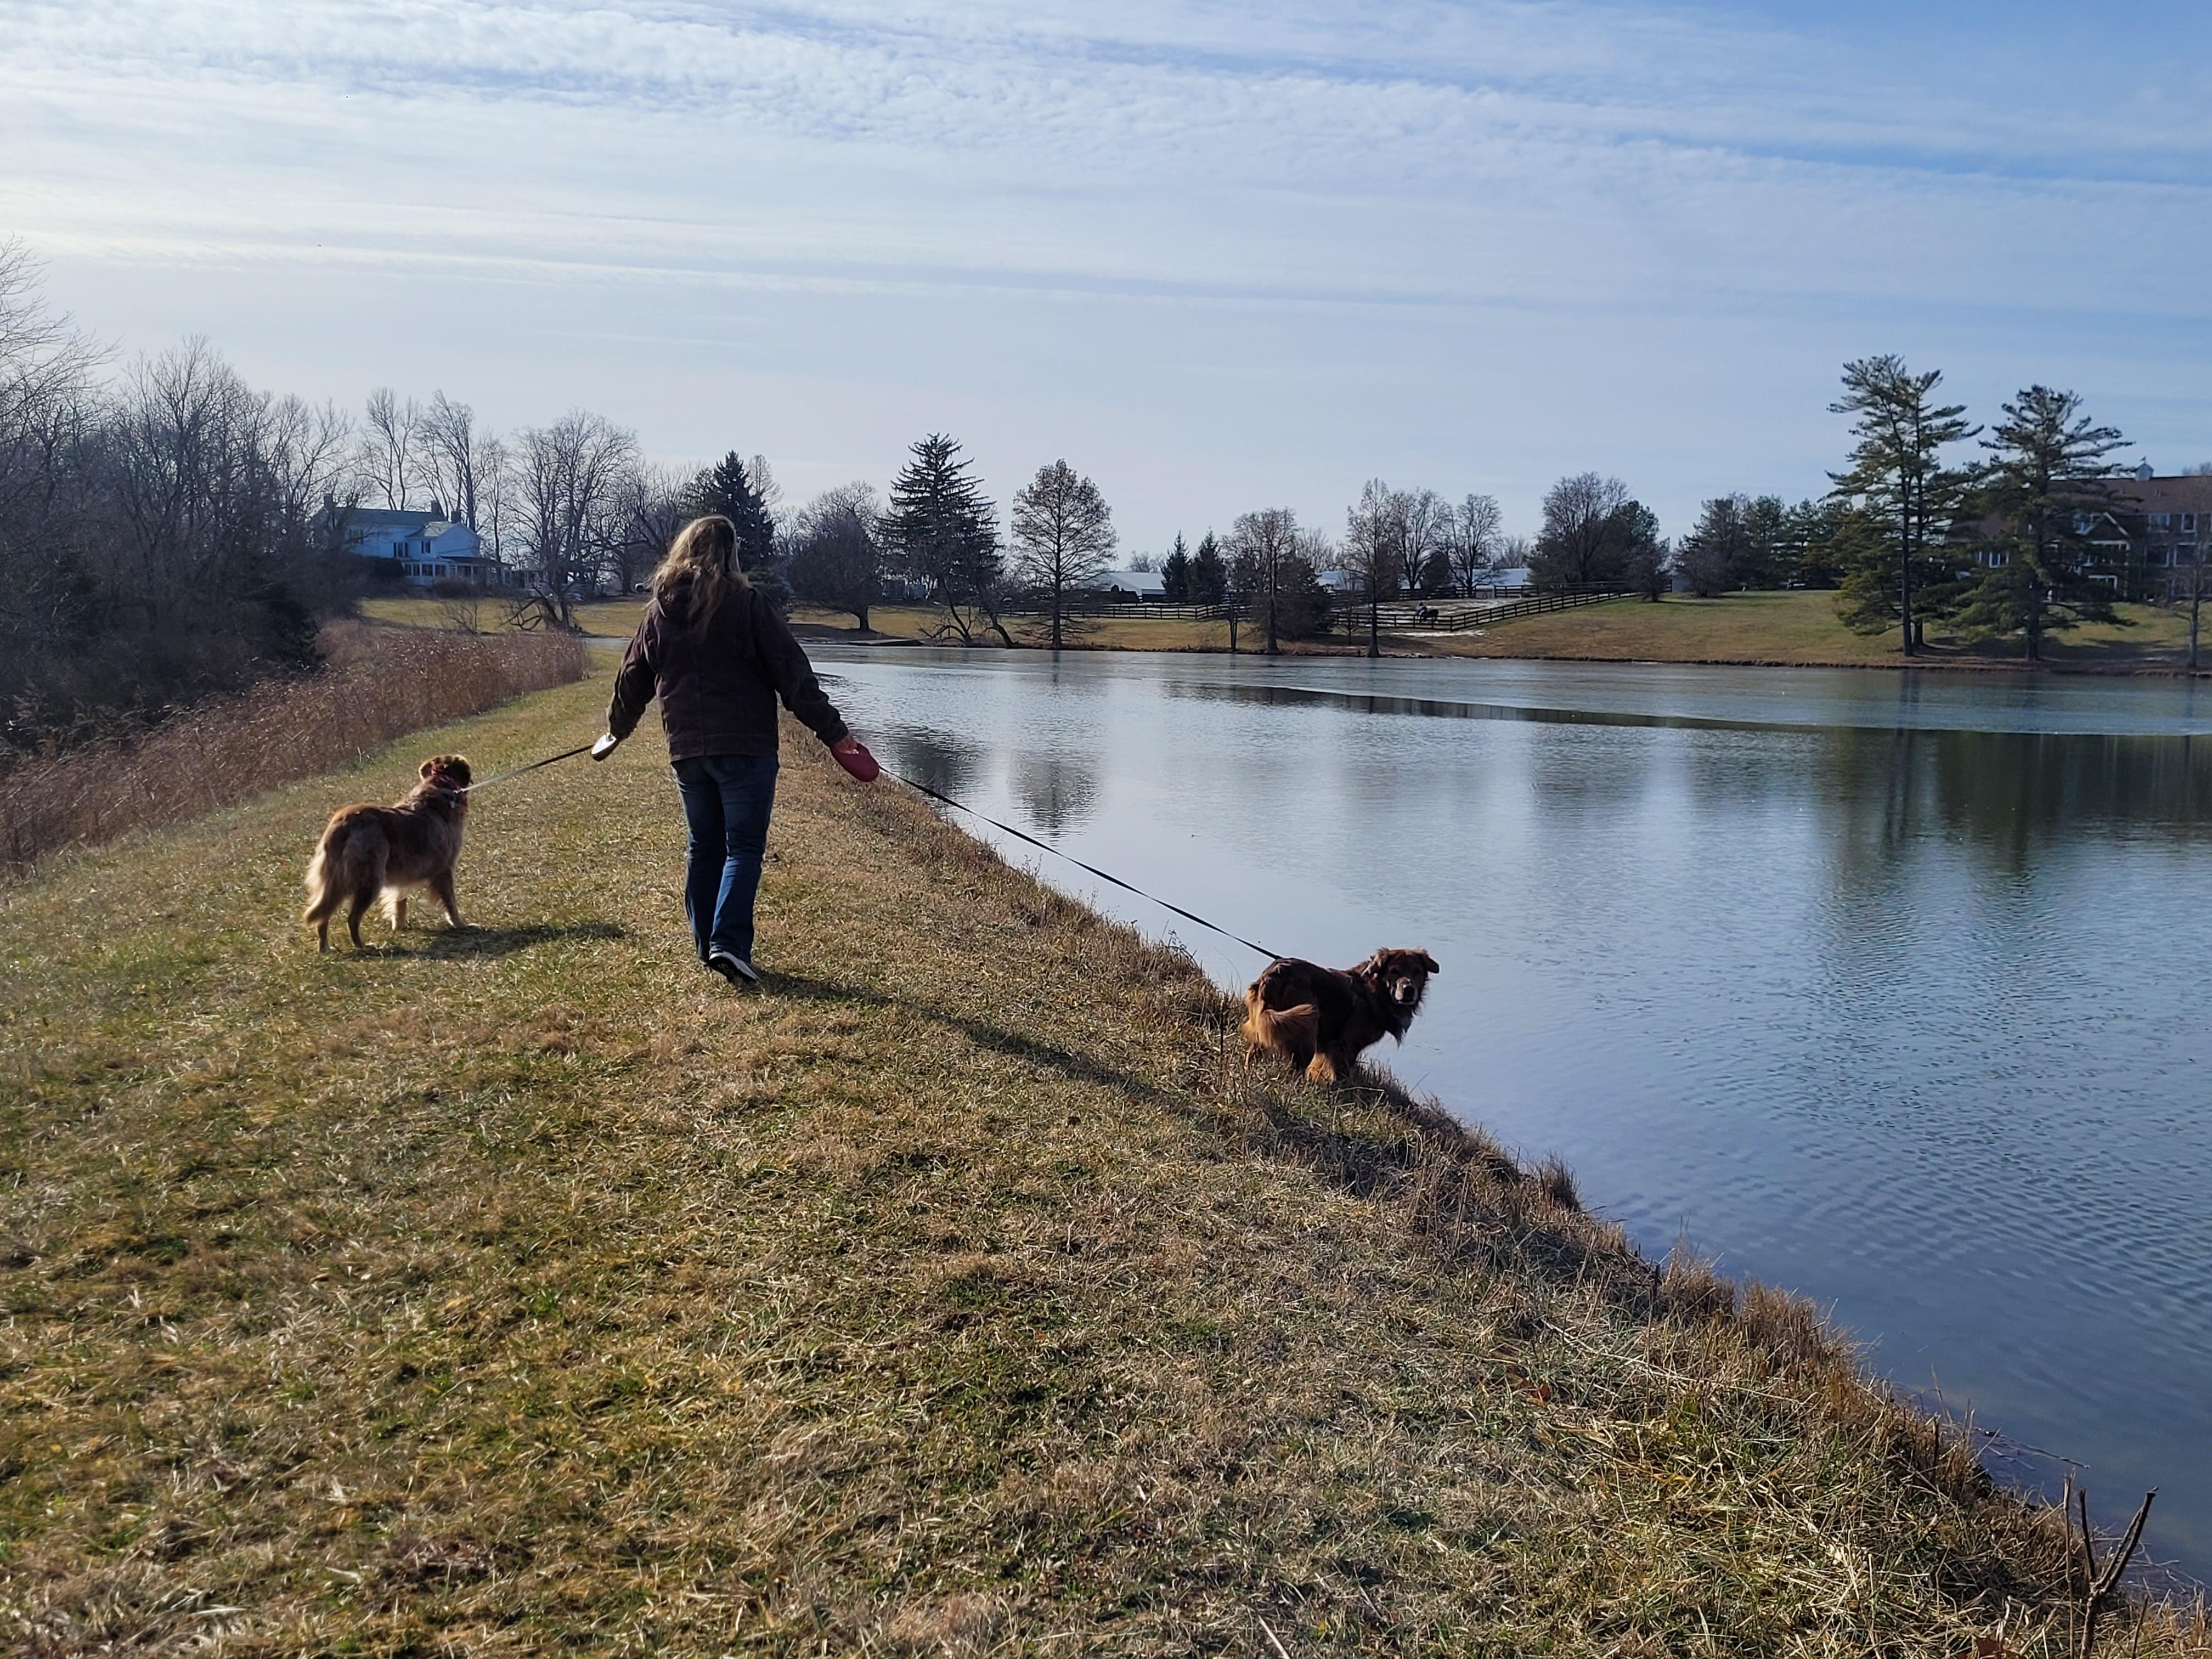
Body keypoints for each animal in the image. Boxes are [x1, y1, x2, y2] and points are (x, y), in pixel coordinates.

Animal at [303, 755, 472, 951]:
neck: (440, 786)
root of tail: (343, 824)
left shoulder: (402, 875)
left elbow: (400, 902)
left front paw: (400, 926)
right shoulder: (444, 869)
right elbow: (450, 903)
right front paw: (460, 924)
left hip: (334, 881)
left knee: (324, 915)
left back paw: (325, 948)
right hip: (370, 878)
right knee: (352, 918)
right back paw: (363, 947)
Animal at [1241, 948, 1440, 1082]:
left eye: (1417, 971)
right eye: (1394, 971)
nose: (1408, 990)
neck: (1374, 991)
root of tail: (1273, 975)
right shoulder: (1347, 1045)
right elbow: (1343, 1073)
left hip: (1270, 1027)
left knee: (1253, 1053)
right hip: (1305, 1027)